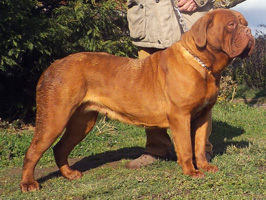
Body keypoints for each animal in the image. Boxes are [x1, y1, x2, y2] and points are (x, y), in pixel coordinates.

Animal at [19, 9, 255, 192]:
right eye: (232, 24)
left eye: (245, 23)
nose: (249, 31)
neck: (203, 66)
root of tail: (52, 66)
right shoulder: (181, 117)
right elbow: (187, 148)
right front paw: (191, 171)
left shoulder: (203, 116)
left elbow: (198, 146)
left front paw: (205, 166)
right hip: (55, 119)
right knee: (33, 151)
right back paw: (28, 184)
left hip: (82, 123)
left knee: (60, 148)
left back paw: (69, 174)